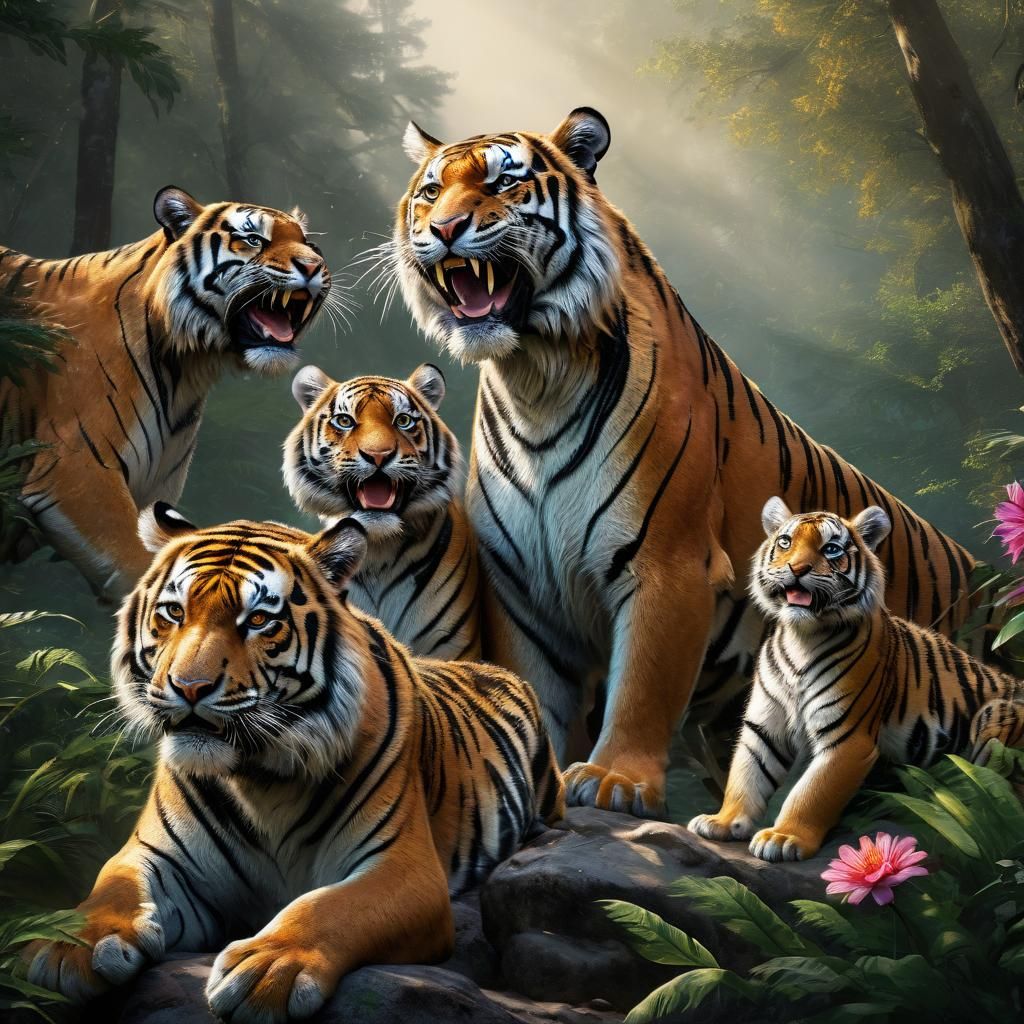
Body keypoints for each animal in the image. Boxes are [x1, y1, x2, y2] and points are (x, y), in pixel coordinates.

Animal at [25, 503, 562, 1023]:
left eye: (259, 621)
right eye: (174, 612)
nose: (190, 687)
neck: (260, 778)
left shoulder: (404, 868)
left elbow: (332, 906)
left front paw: (268, 970)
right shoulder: (157, 855)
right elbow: (112, 885)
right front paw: (69, 943)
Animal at [392, 106, 981, 819]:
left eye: (503, 181)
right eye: (430, 192)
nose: (444, 230)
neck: (534, 376)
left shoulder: (667, 563)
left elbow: (645, 686)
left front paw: (614, 780)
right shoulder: (522, 587)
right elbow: (536, 690)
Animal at [688, 498, 1024, 863]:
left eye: (831, 549)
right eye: (786, 542)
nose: (796, 568)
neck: (801, 636)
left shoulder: (848, 738)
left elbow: (811, 793)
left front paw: (783, 837)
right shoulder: (763, 727)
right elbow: (745, 775)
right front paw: (723, 821)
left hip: (995, 723)